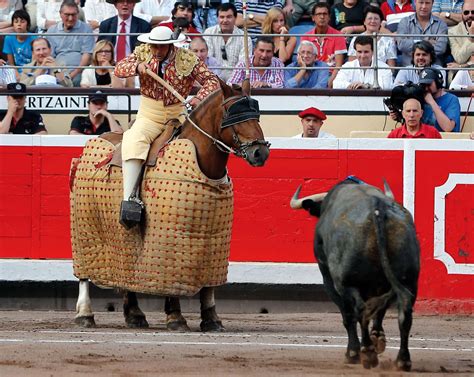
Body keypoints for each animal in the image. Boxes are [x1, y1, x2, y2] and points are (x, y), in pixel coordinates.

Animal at [71, 78, 270, 328]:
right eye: (232, 115)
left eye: (256, 115)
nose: (260, 153)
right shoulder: (170, 236)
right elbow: (173, 278)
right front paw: (176, 316)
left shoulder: (214, 237)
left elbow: (208, 283)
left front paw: (211, 318)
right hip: (85, 227)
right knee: (84, 274)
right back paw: (85, 314)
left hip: (120, 237)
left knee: (126, 272)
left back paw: (134, 314)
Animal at [290, 177, 420, 370]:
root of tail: (378, 210)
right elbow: (379, 311)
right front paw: (377, 338)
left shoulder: (329, 278)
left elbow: (347, 315)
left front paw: (352, 353)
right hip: (409, 280)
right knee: (404, 311)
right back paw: (402, 360)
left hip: (346, 282)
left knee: (359, 310)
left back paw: (367, 353)